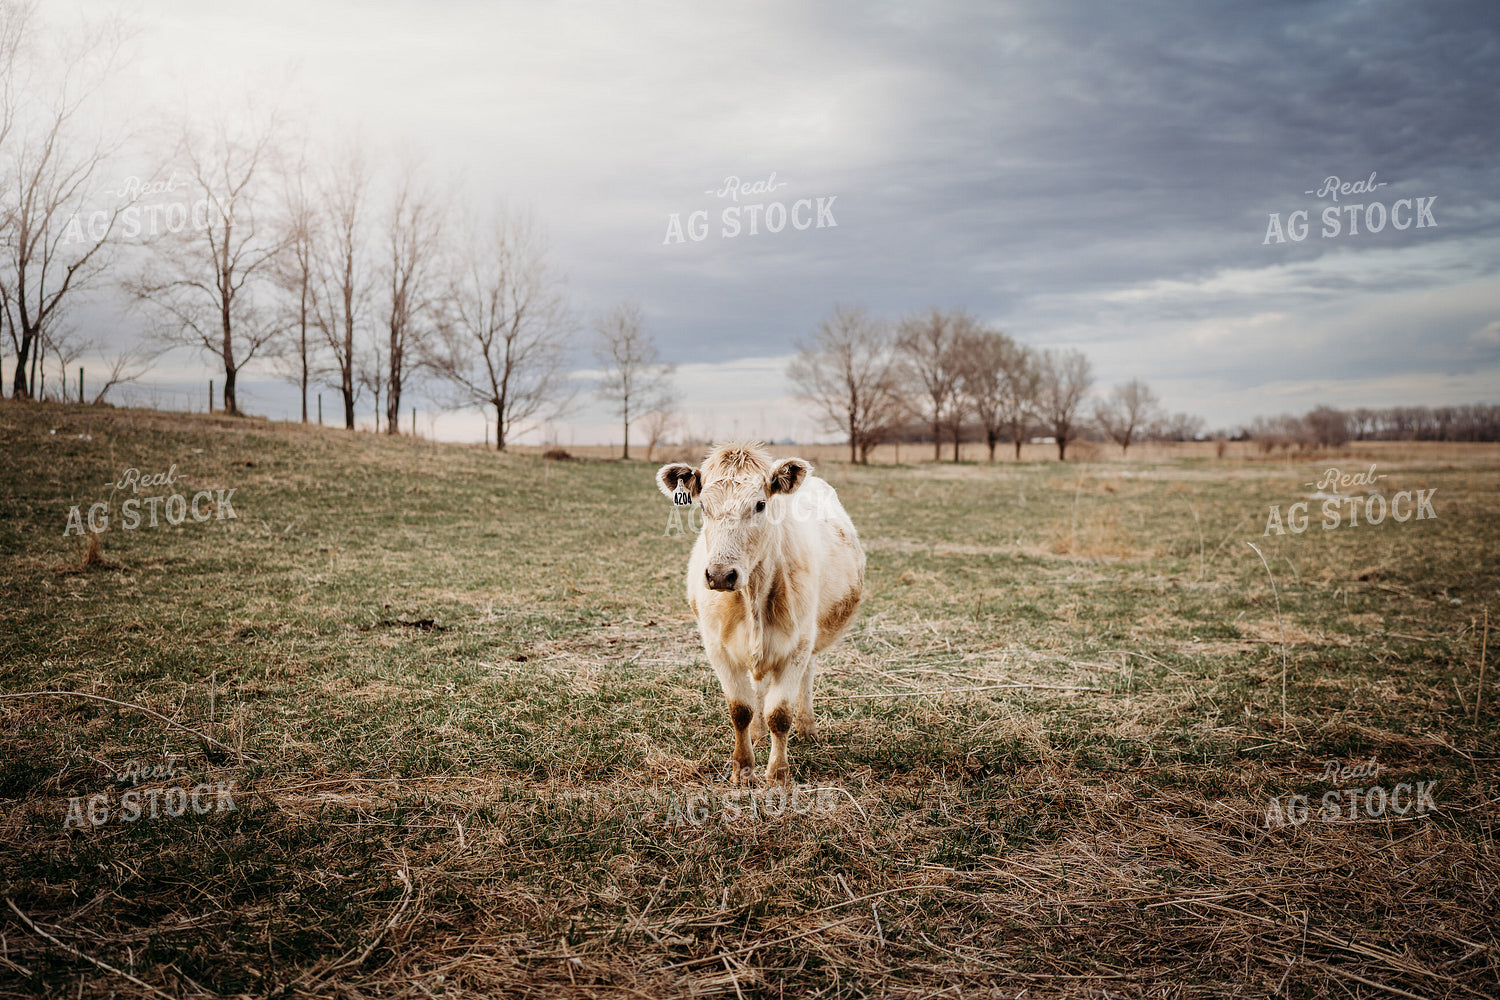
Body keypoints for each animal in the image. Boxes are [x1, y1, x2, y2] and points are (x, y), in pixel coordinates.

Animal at [656, 442, 865, 784]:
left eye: (759, 505)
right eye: (704, 507)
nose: (720, 575)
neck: (752, 596)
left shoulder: (796, 647)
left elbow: (779, 715)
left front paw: (778, 773)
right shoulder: (718, 649)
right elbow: (740, 710)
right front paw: (742, 767)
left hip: (811, 637)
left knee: (805, 678)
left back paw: (807, 727)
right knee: (757, 691)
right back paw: (756, 734)